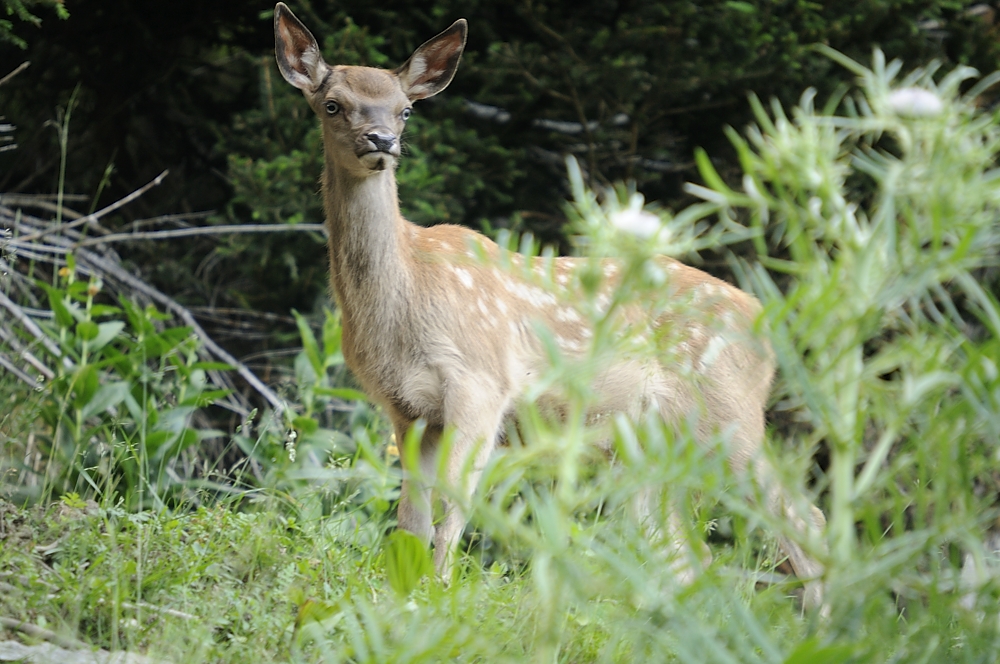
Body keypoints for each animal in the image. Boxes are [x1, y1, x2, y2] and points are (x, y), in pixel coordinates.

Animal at [274, 2, 828, 608]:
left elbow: (452, 508)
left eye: (405, 110)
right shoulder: (407, 408)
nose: (380, 140)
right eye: (333, 104)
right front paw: (405, 600)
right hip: (651, 442)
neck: (407, 292)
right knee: (683, 550)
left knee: (803, 516)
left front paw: (440, 597)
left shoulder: (481, 383)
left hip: (729, 413)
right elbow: (410, 521)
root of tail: (765, 324)